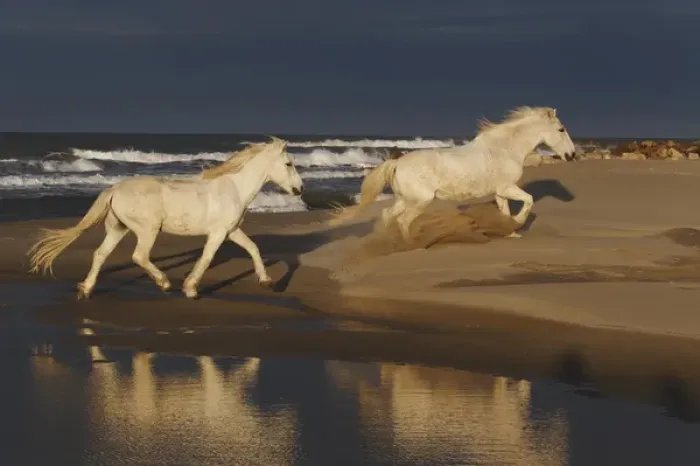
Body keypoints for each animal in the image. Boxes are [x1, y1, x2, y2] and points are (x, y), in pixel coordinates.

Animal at [27, 136, 304, 300]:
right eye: (289, 164)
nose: (300, 189)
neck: (233, 187)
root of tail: (115, 189)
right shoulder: (217, 234)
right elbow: (206, 258)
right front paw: (190, 289)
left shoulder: (232, 230)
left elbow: (253, 248)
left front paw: (267, 282)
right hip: (148, 230)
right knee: (139, 256)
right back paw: (165, 284)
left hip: (118, 228)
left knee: (100, 254)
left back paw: (85, 289)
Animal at [328, 106, 576, 240]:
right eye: (561, 129)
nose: (572, 155)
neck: (505, 149)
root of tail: (396, 164)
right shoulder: (507, 187)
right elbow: (528, 200)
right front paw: (518, 223)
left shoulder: (500, 192)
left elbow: (505, 211)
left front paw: (510, 232)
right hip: (420, 200)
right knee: (403, 220)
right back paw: (410, 244)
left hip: (404, 199)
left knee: (388, 215)